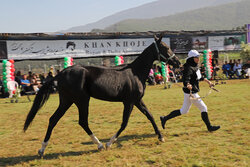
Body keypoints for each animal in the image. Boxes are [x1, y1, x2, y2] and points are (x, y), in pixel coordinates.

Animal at [23, 35, 181, 157]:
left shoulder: (137, 100)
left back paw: (42, 150)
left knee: (53, 119)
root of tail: (61, 73)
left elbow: (150, 116)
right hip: (82, 100)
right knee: (82, 121)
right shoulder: (129, 102)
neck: (135, 73)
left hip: (67, 101)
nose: (178, 62)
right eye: (165, 48)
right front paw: (109, 143)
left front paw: (161, 137)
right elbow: (124, 123)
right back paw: (99, 145)